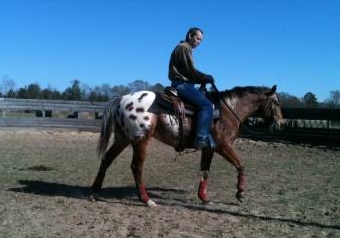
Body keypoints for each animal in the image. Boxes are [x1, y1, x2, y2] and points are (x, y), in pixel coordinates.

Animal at [91, 85, 282, 206]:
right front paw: (240, 193)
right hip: (141, 140)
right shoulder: (223, 146)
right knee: (136, 167)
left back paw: (95, 192)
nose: (280, 123)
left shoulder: (209, 148)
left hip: (122, 138)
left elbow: (205, 171)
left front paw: (204, 197)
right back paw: (146, 200)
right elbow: (240, 165)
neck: (227, 111)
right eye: (276, 102)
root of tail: (122, 99)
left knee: (106, 159)